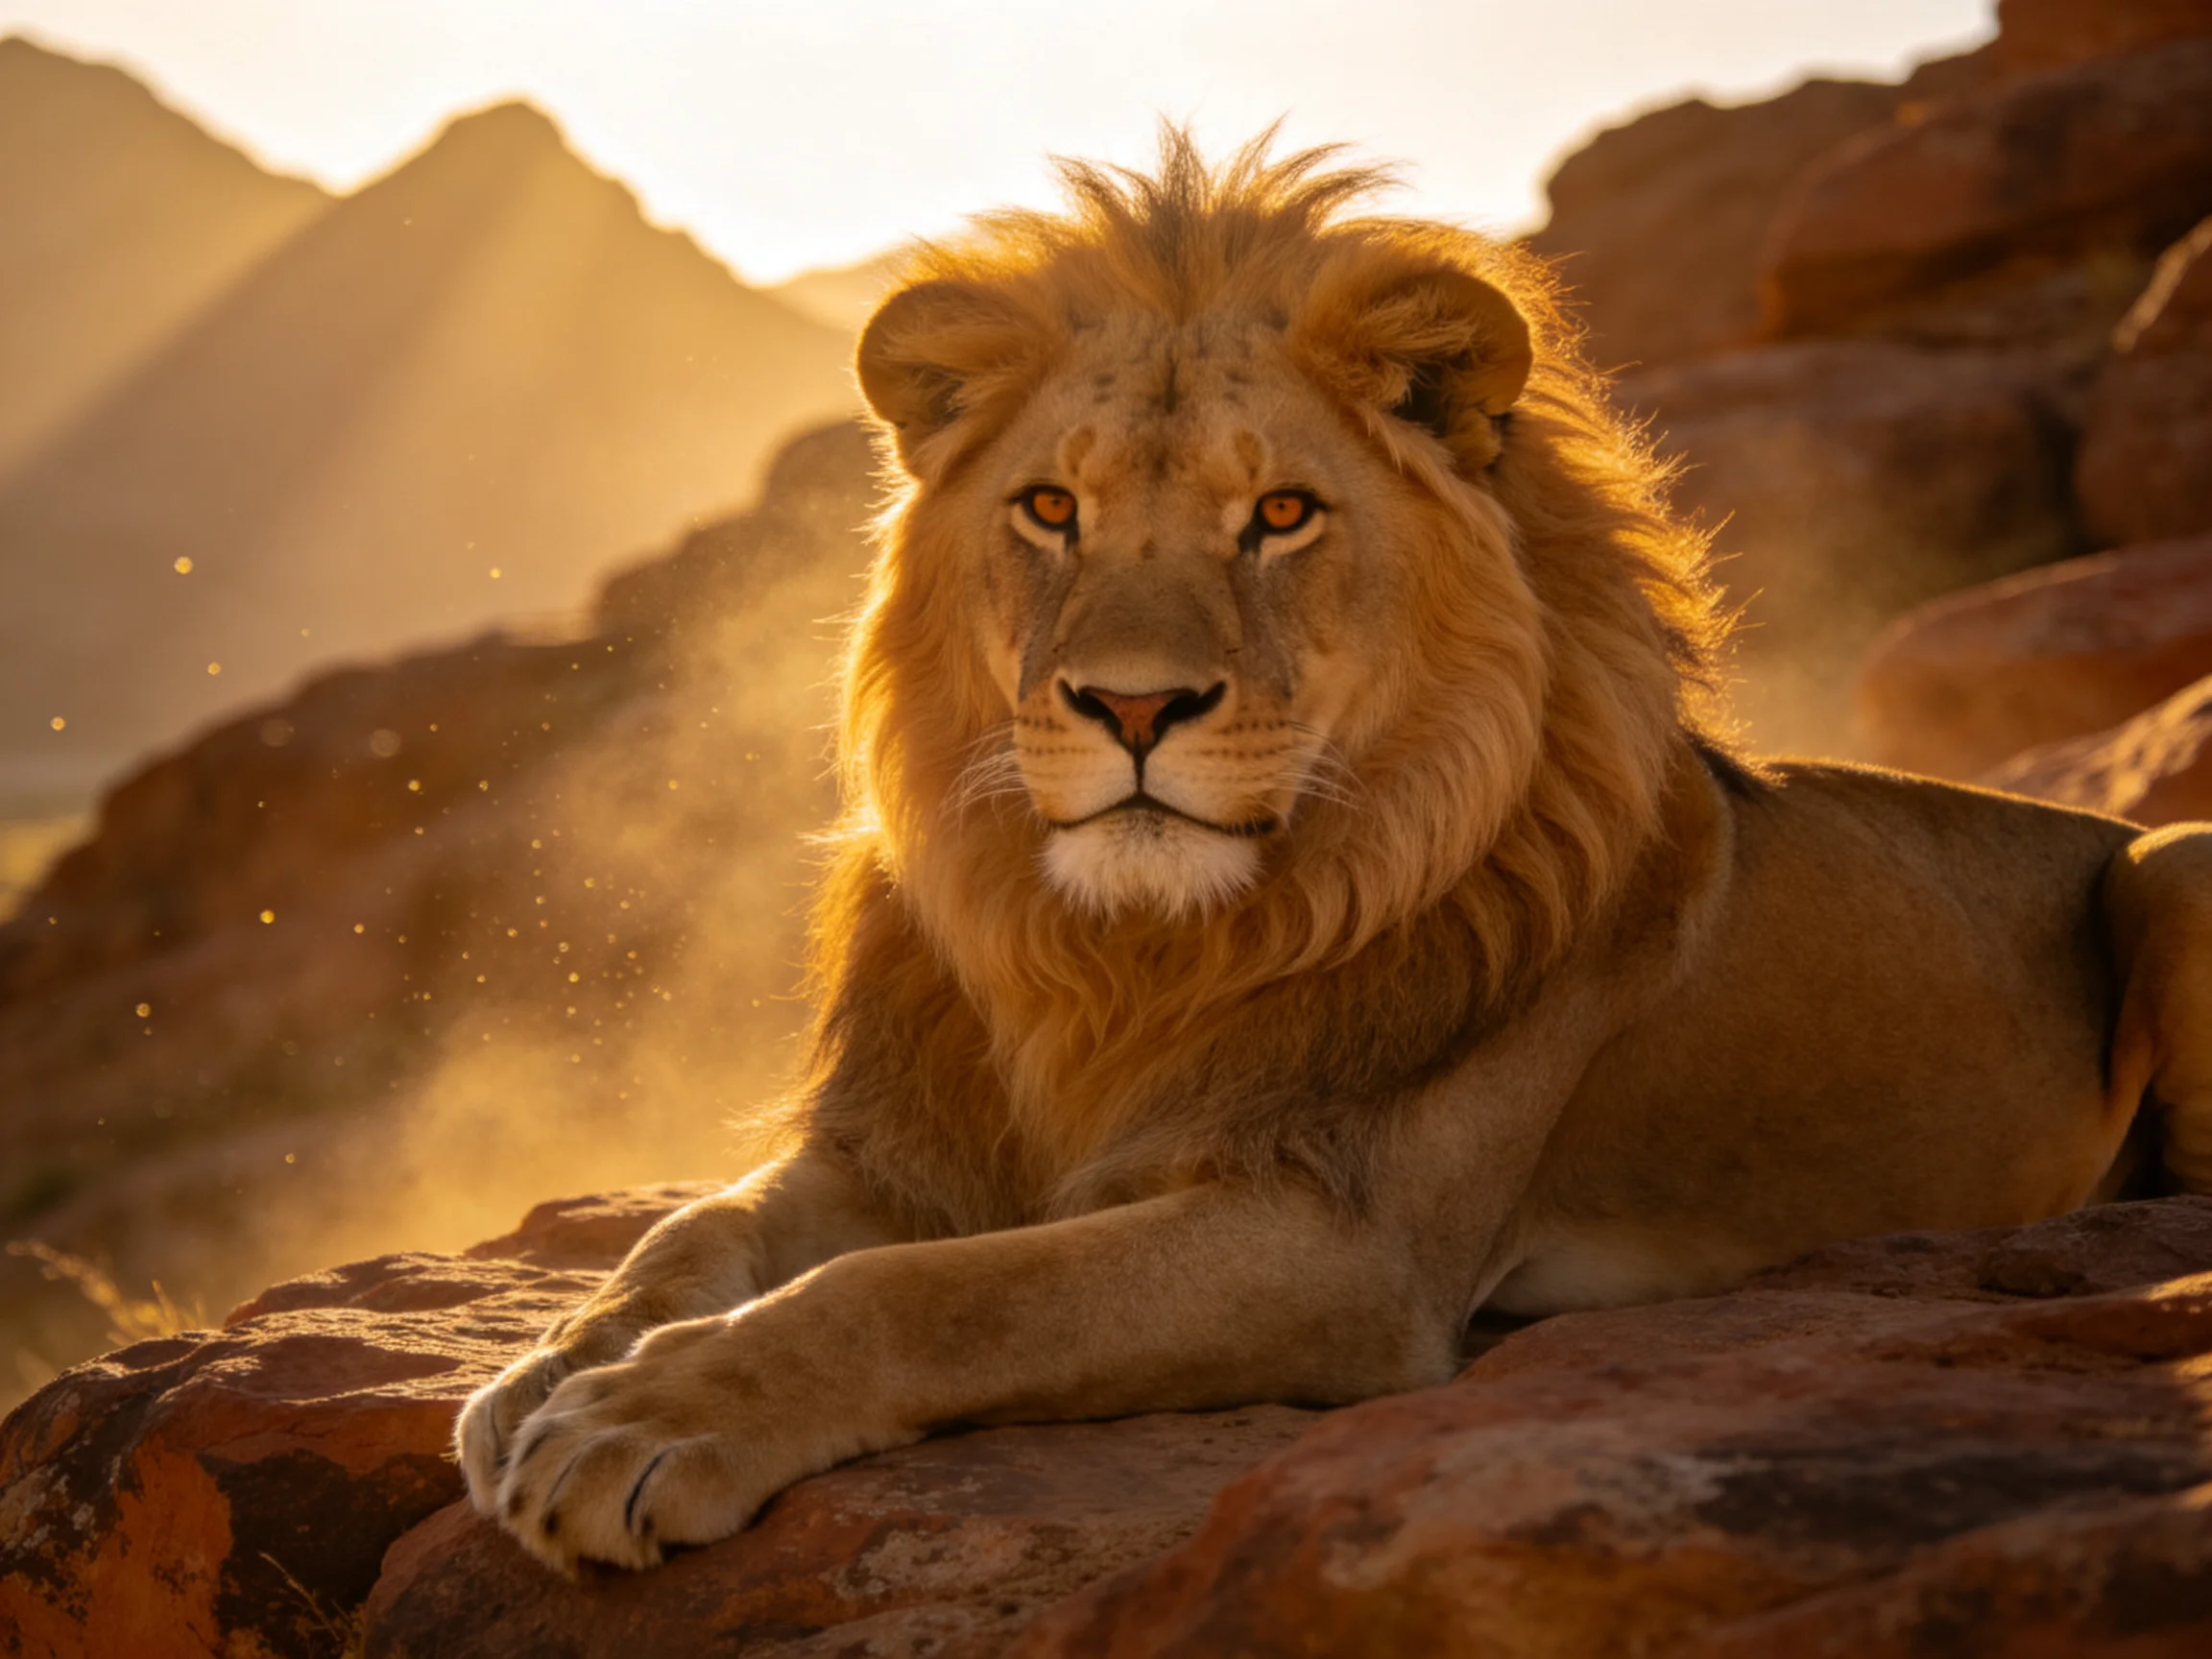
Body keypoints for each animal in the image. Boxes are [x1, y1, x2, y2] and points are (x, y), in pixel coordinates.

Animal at [454, 132, 2212, 1573]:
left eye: (1282, 515)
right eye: (1048, 508)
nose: (1132, 705)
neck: (1117, 953)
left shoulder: (1342, 1247)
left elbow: (932, 1292)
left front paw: (642, 1423)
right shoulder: (901, 1147)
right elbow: (692, 1233)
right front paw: (544, 1370)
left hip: (2169, 856)